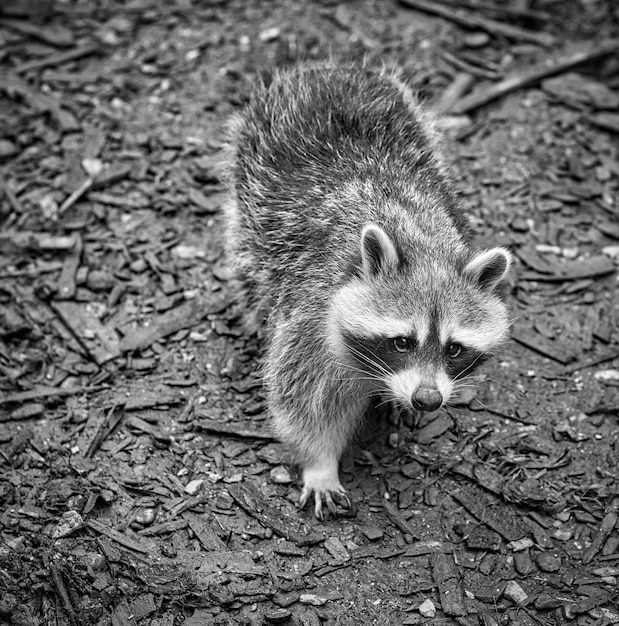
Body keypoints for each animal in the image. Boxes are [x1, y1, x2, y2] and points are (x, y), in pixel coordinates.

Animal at [223, 66, 512, 520]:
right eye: (402, 342)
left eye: (454, 348)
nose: (427, 399)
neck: (422, 244)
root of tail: (330, 68)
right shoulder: (310, 320)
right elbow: (303, 403)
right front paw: (320, 464)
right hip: (250, 179)